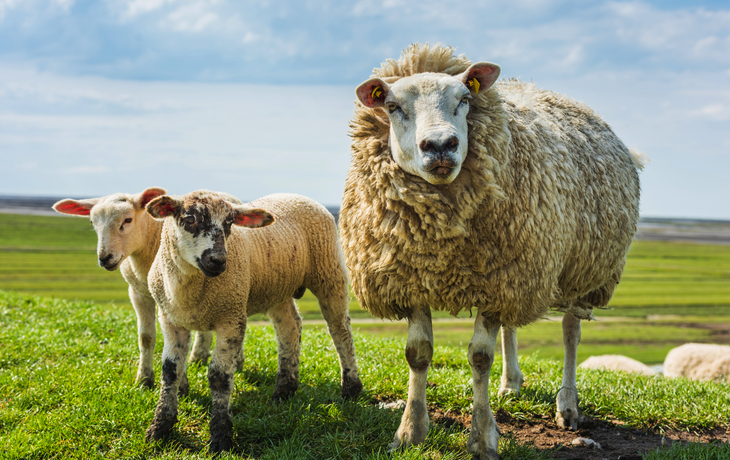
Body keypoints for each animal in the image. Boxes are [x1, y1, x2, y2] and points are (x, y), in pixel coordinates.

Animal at [52, 187, 228, 393]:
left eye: (127, 220)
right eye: (92, 222)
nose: (104, 258)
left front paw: (182, 385)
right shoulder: (138, 294)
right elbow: (146, 337)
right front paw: (144, 379)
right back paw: (198, 357)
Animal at [143, 190, 362, 453]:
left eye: (229, 223)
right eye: (190, 219)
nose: (218, 260)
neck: (189, 291)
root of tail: (298, 195)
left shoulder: (231, 319)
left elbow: (218, 376)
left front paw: (220, 437)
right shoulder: (170, 320)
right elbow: (170, 371)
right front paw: (160, 428)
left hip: (329, 271)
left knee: (340, 330)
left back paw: (351, 387)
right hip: (279, 288)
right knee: (290, 327)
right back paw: (284, 390)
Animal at [340, 43, 642, 459]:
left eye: (464, 100)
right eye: (393, 106)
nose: (440, 146)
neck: (440, 237)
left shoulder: (495, 282)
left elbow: (480, 357)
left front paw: (482, 438)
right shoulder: (414, 277)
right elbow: (418, 353)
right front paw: (410, 431)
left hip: (582, 269)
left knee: (570, 332)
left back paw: (567, 405)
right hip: (519, 266)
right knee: (512, 325)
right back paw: (510, 384)